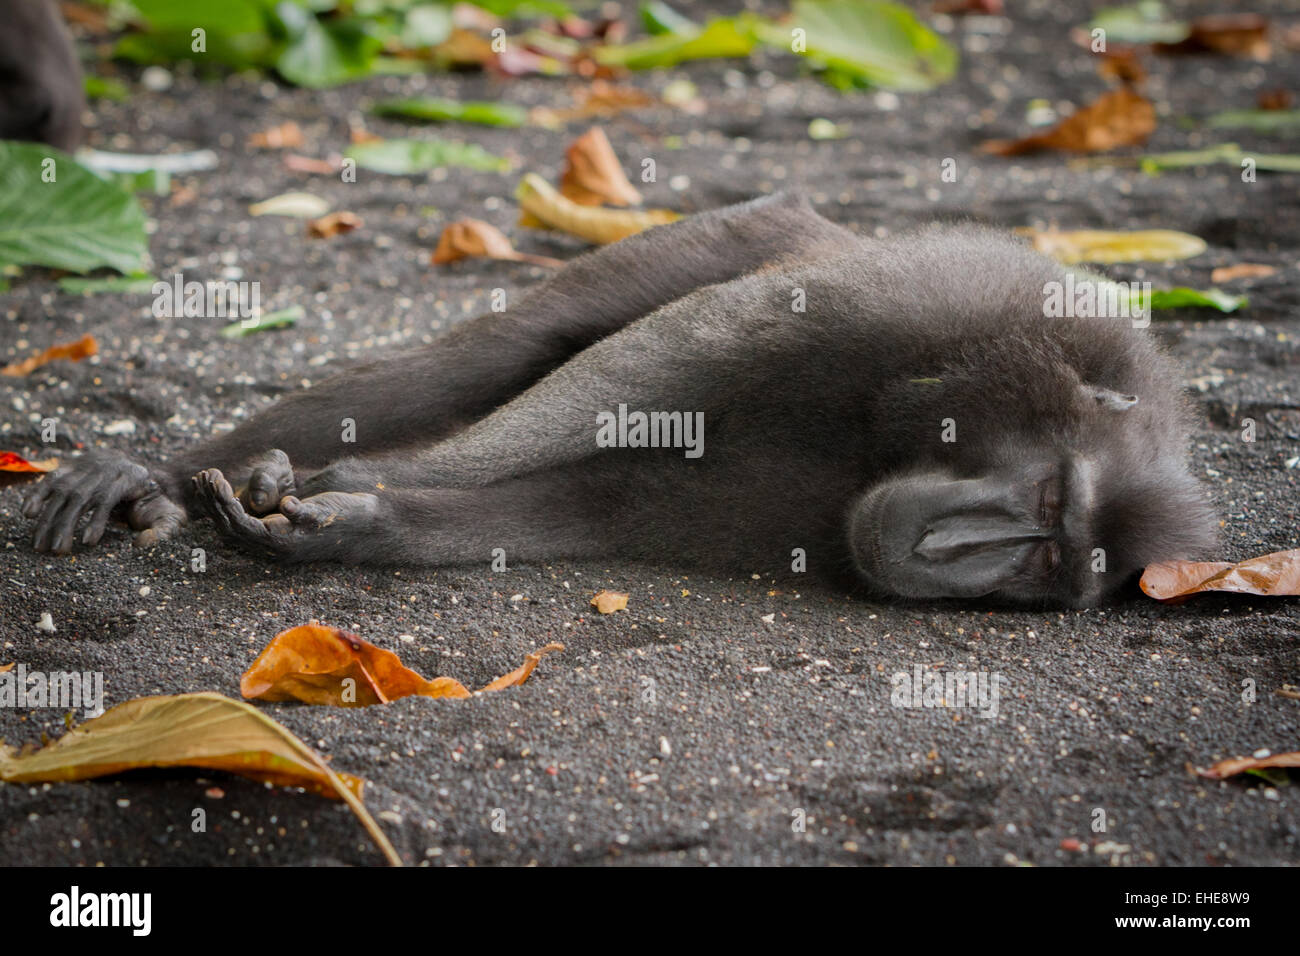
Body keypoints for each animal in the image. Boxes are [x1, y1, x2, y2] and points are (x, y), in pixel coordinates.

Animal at [22, 192, 1217, 607]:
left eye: (1049, 566)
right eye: (1051, 506)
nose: (961, 552)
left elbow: (605, 502)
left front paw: (358, 522)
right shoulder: (919, 312)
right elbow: (664, 364)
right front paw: (347, 474)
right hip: (752, 229)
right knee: (533, 348)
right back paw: (156, 471)